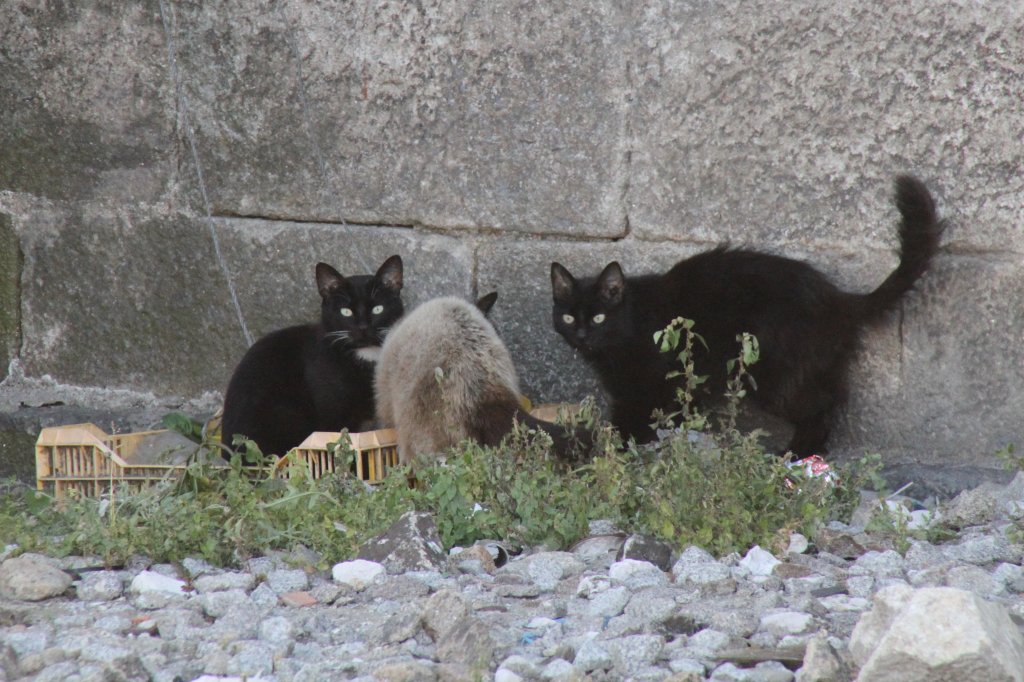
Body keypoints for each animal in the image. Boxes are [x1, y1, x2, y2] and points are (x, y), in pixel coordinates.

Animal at [221, 254, 403, 456]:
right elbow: (340, 441)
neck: (365, 355)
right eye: (346, 312)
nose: (363, 328)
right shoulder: (330, 410)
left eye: (377, 309)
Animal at [552, 175, 942, 454]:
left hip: (773, 373)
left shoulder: (651, 382)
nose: (583, 335)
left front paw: (608, 452)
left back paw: (795, 455)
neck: (630, 325)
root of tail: (837, 298)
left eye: (599, 318)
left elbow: (635, 419)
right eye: (569, 318)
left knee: (819, 406)